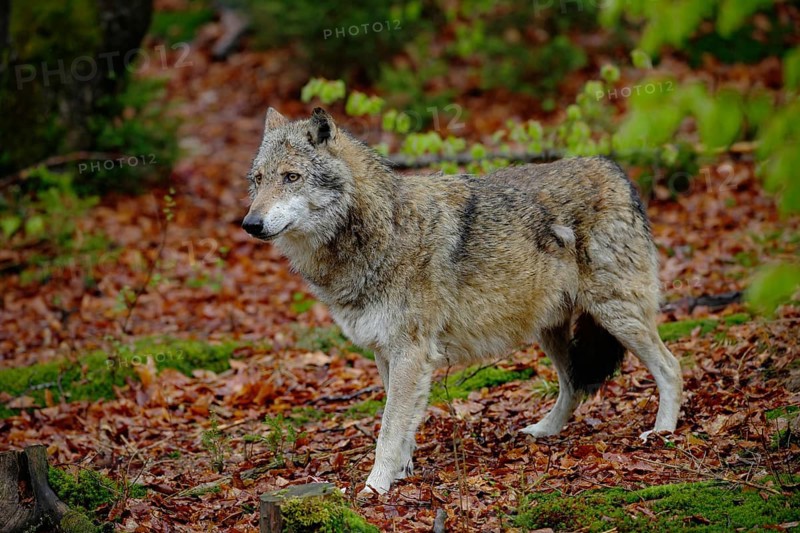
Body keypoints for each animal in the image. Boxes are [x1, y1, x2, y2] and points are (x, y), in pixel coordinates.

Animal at [241, 107, 683, 495]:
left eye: (292, 177)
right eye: (259, 180)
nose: (250, 224)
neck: (380, 230)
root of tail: (615, 170)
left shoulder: (411, 353)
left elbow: (389, 428)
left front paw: (374, 487)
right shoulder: (386, 353)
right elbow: (403, 424)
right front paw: (401, 473)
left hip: (616, 315)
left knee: (670, 366)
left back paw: (663, 431)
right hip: (551, 330)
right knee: (573, 386)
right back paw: (543, 431)